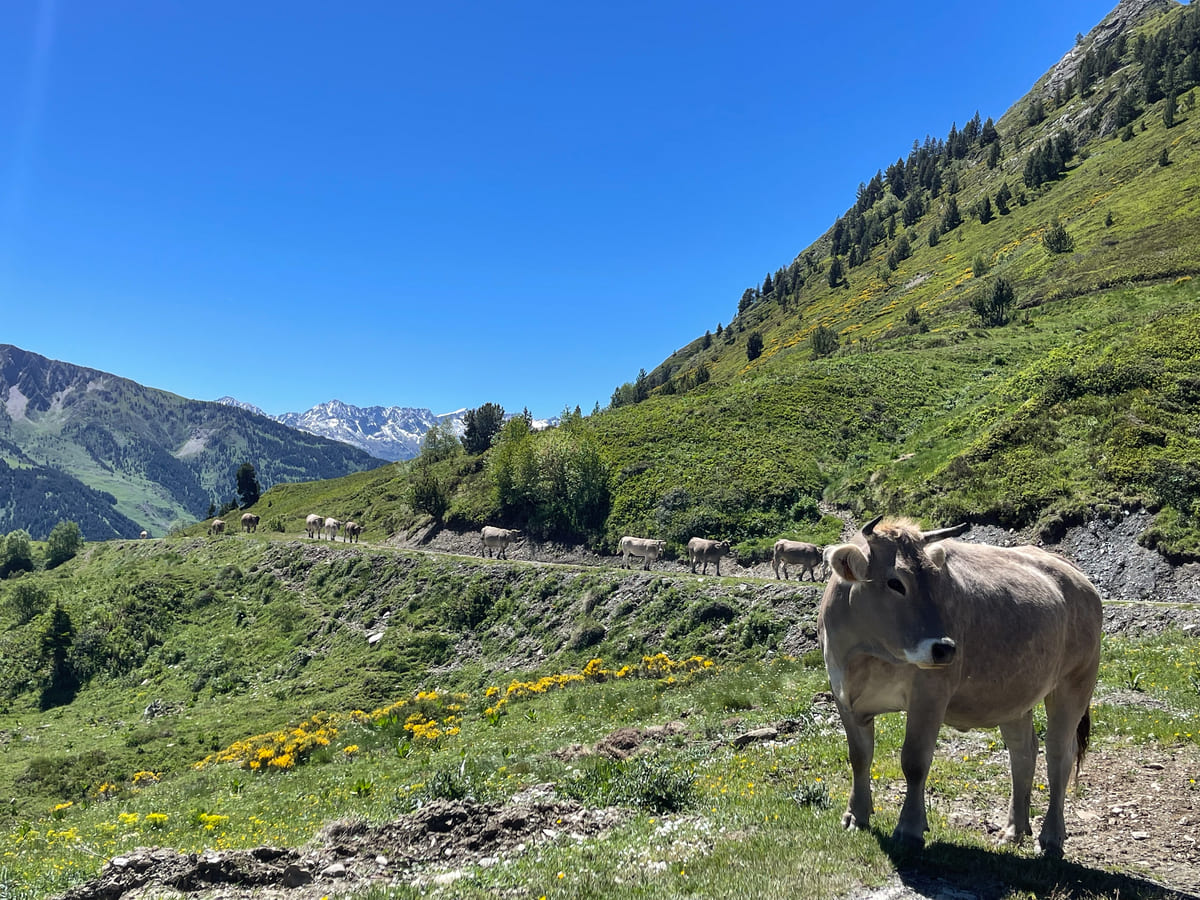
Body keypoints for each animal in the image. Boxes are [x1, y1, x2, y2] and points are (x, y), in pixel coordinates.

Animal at [820, 518, 1099, 854]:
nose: (945, 648)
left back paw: (1052, 837)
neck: (867, 654)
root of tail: (1073, 572)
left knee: (1059, 755)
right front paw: (856, 816)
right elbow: (860, 756)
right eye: (895, 582)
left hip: (1075, 683)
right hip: (1014, 694)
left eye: (937, 581)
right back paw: (1013, 830)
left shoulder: (930, 694)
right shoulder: (842, 693)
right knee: (1023, 752)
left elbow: (914, 760)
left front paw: (909, 828)